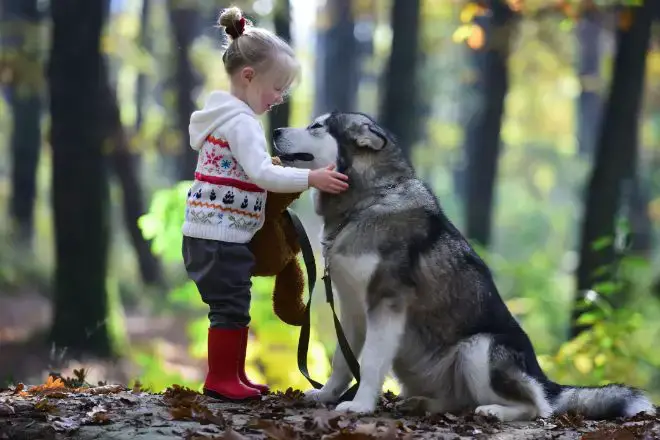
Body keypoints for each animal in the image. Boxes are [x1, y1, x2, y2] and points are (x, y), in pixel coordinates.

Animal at [270, 111, 656, 422]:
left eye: (317, 126)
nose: (274, 129)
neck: (367, 201)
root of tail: (544, 378)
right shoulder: (351, 307)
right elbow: (341, 361)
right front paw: (326, 395)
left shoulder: (386, 304)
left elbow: (369, 362)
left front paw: (360, 406)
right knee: (462, 401)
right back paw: (424, 403)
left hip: (478, 348)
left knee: (537, 408)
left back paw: (495, 411)